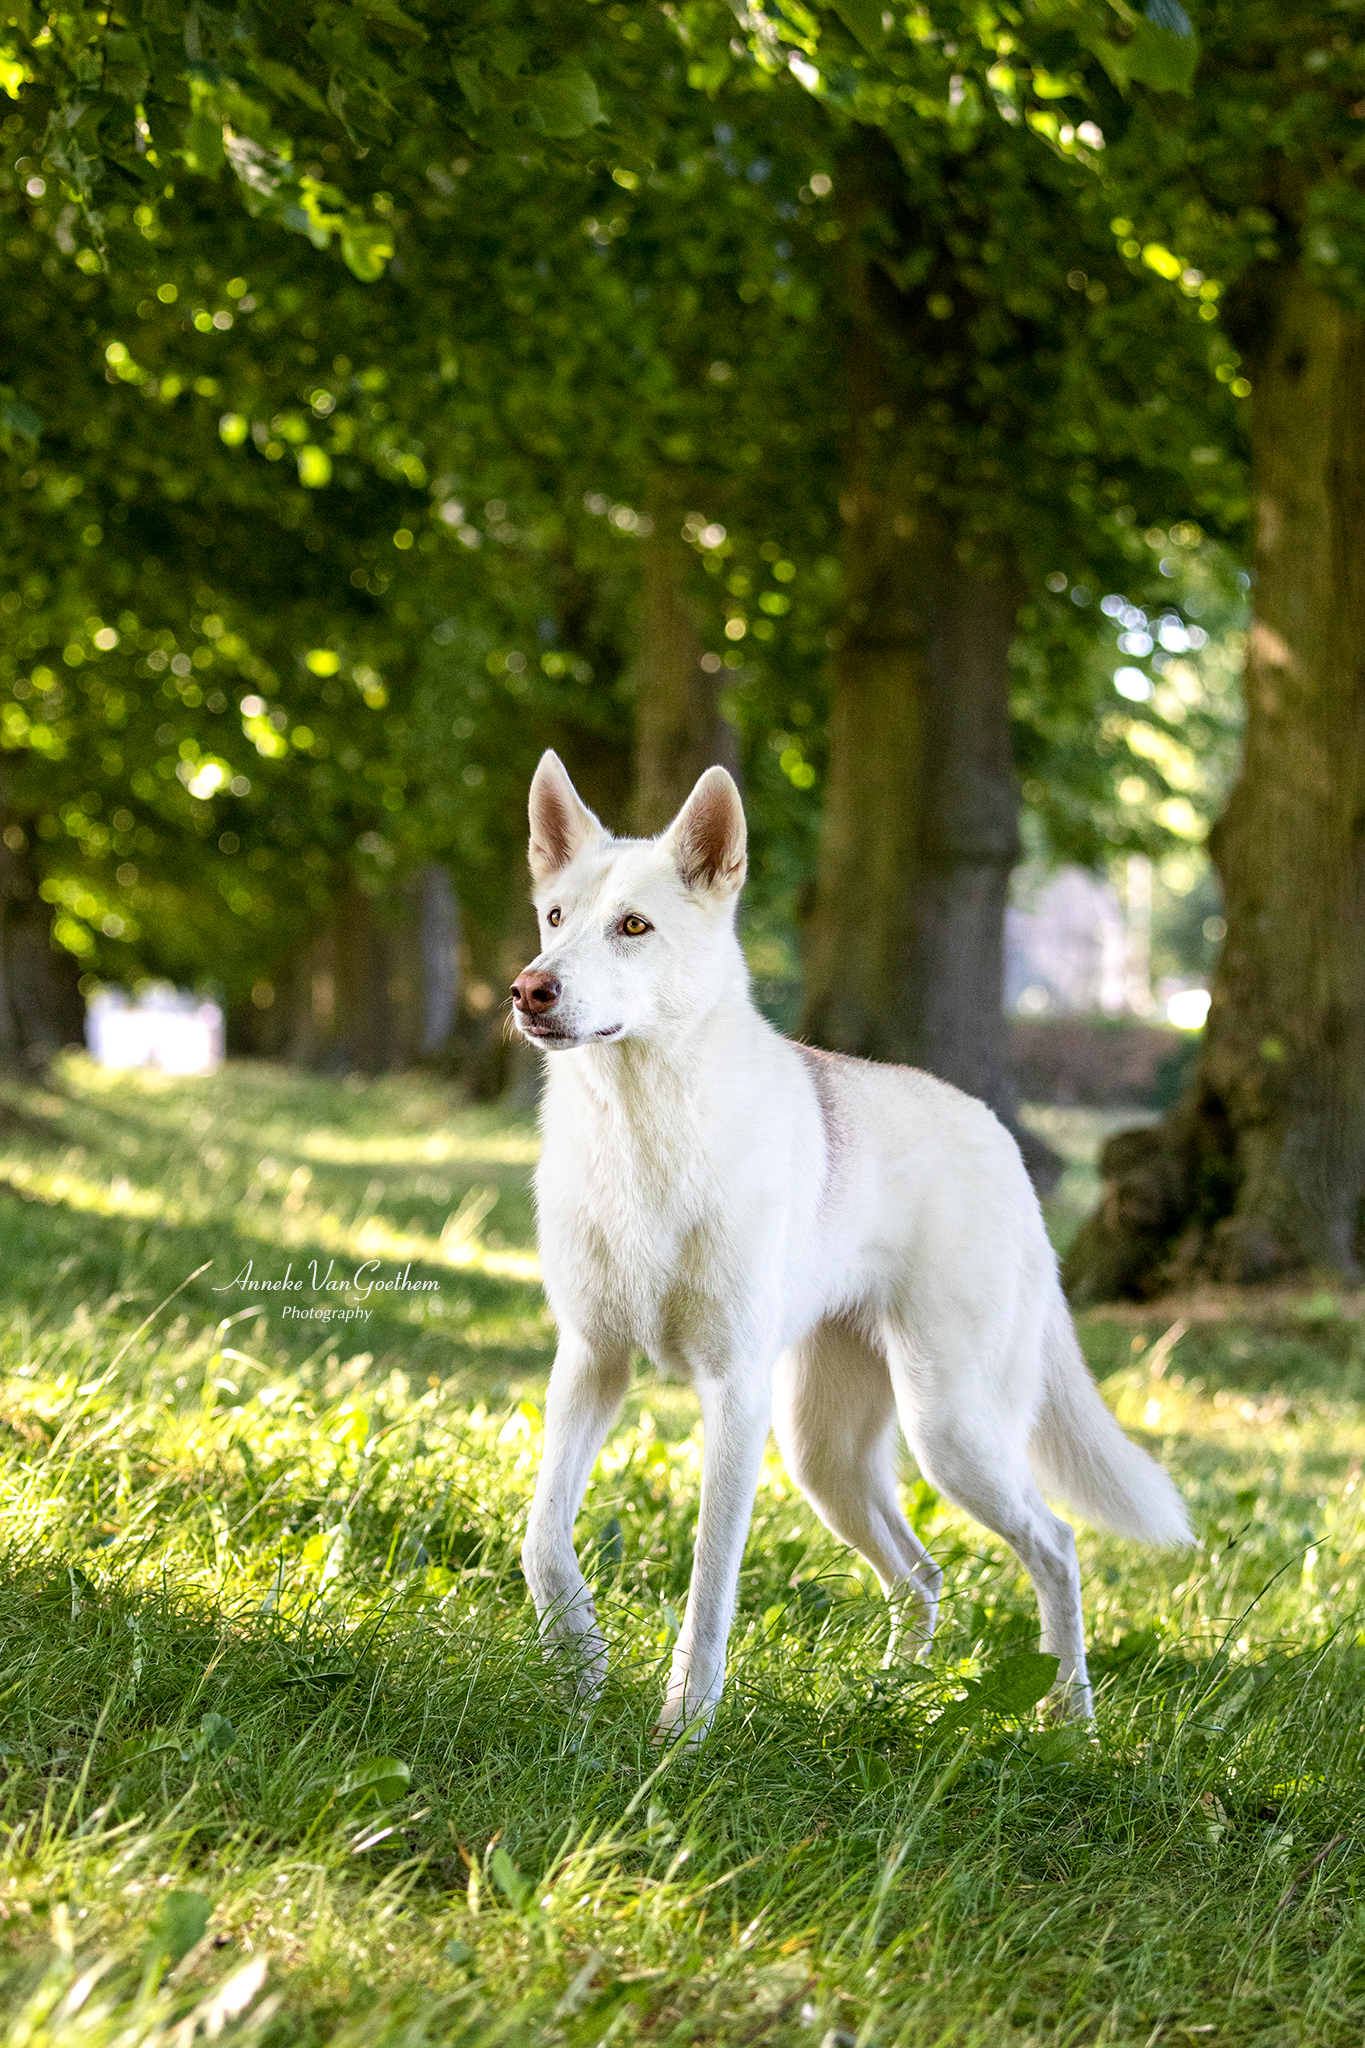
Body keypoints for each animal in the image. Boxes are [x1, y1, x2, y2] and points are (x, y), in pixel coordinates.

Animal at [507, 745, 1186, 1736]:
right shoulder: (589, 1364)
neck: (643, 1129)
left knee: (1054, 1545)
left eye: (633, 926)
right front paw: (581, 1669)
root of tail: (998, 1138)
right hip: (823, 1454)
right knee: (921, 1574)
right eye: (555, 918)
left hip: (949, 1432)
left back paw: (1069, 1717)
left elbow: (709, 1587)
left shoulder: (733, 1397)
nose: (530, 988)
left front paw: (684, 1729)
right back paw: (892, 1697)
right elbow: (543, 1538)